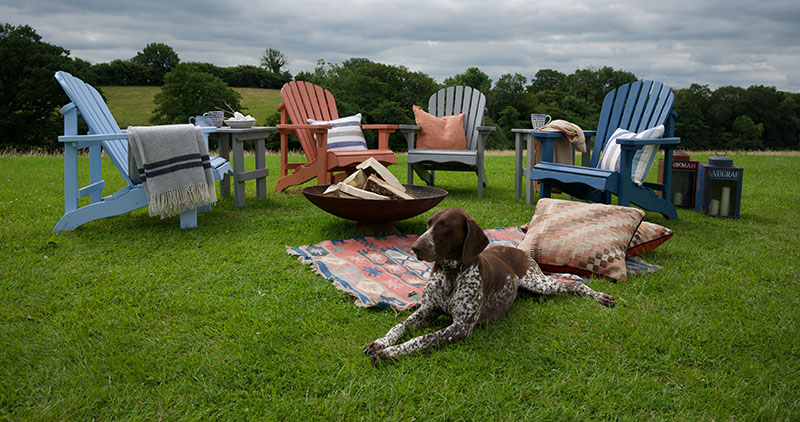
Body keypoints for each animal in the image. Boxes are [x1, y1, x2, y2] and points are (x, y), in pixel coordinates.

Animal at [366, 207, 616, 362]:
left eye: (445, 226)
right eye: (429, 224)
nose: (415, 248)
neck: (451, 274)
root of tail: (520, 250)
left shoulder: (461, 327)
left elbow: (422, 339)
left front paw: (391, 352)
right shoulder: (426, 311)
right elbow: (399, 326)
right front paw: (381, 342)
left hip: (538, 282)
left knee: (573, 284)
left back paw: (600, 296)